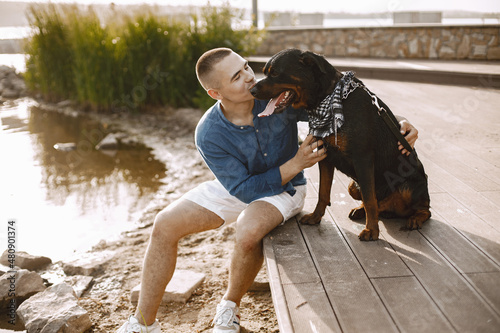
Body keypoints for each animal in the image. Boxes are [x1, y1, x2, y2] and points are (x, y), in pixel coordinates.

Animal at [250, 48, 430, 240]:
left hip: (408, 187)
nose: (251, 90)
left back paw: (415, 218)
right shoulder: (325, 156)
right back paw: (362, 210)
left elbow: (369, 199)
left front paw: (371, 230)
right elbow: (323, 192)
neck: (326, 97)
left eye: (275, 73)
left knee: (422, 209)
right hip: (353, 186)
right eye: (265, 72)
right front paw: (316, 217)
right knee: (379, 204)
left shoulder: (363, 158)